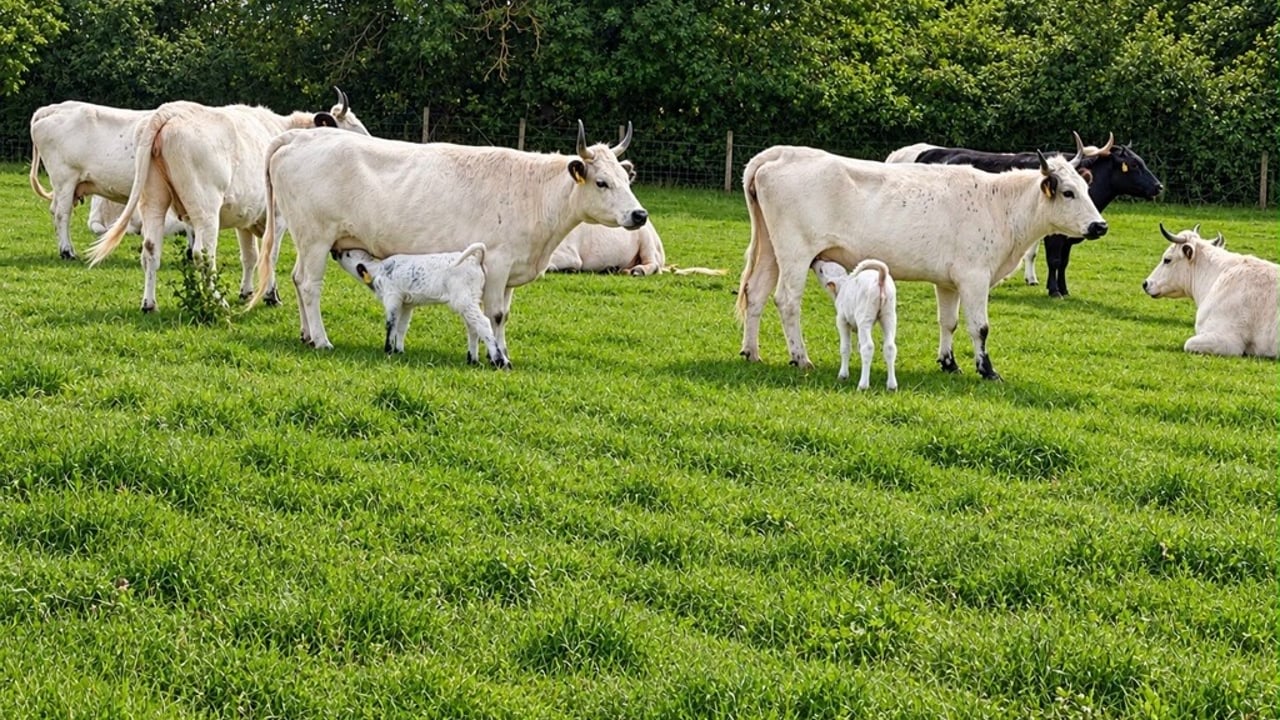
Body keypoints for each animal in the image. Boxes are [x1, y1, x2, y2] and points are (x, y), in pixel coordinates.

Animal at [84, 88, 368, 311]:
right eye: (353, 129)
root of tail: (171, 111)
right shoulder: (277, 218)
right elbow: (270, 255)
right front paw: (270, 295)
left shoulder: (246, 219)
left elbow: (250, 256)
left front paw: (247, 292)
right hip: (206, 209)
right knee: (202, 254)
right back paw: (217, 302)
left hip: (153, 200)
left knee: (151, 249)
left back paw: (149, 304)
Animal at [247, 121, 648, 366]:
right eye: (601, 183)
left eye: (624, 178)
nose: (640, 214)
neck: (535, 195)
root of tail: (300, 137)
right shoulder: (496, 264)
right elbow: (494, 315)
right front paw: (498, 357)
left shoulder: (511, 270)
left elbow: (503, 315)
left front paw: (499, 351)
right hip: (316, 236)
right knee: (309, 284)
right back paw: (321, 339)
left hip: (305, 238)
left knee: (298, 280)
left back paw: (306, 335)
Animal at [737, 146, 1105, 380]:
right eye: (1068, 192)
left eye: (1087, 188)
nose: (1100, 226)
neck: (999, 204)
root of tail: (781, 152)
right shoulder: (974, 276)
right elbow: (980, 326)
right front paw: (987, 370)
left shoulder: (948, 281)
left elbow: (948, 323)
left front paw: (949, 363)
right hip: (795, 252)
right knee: (787, 301)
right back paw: (800, 358)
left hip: (771, 250)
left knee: (755, 294)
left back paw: (751, 352)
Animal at [887, 132, 1163, 297]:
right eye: (1134, 165)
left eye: (1142, 162)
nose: (1159, 186)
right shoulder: (1054, 236)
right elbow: (1054, 260)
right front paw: (1054, 290)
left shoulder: (1068, 236)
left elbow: (1063, 262)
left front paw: (1063, 289)